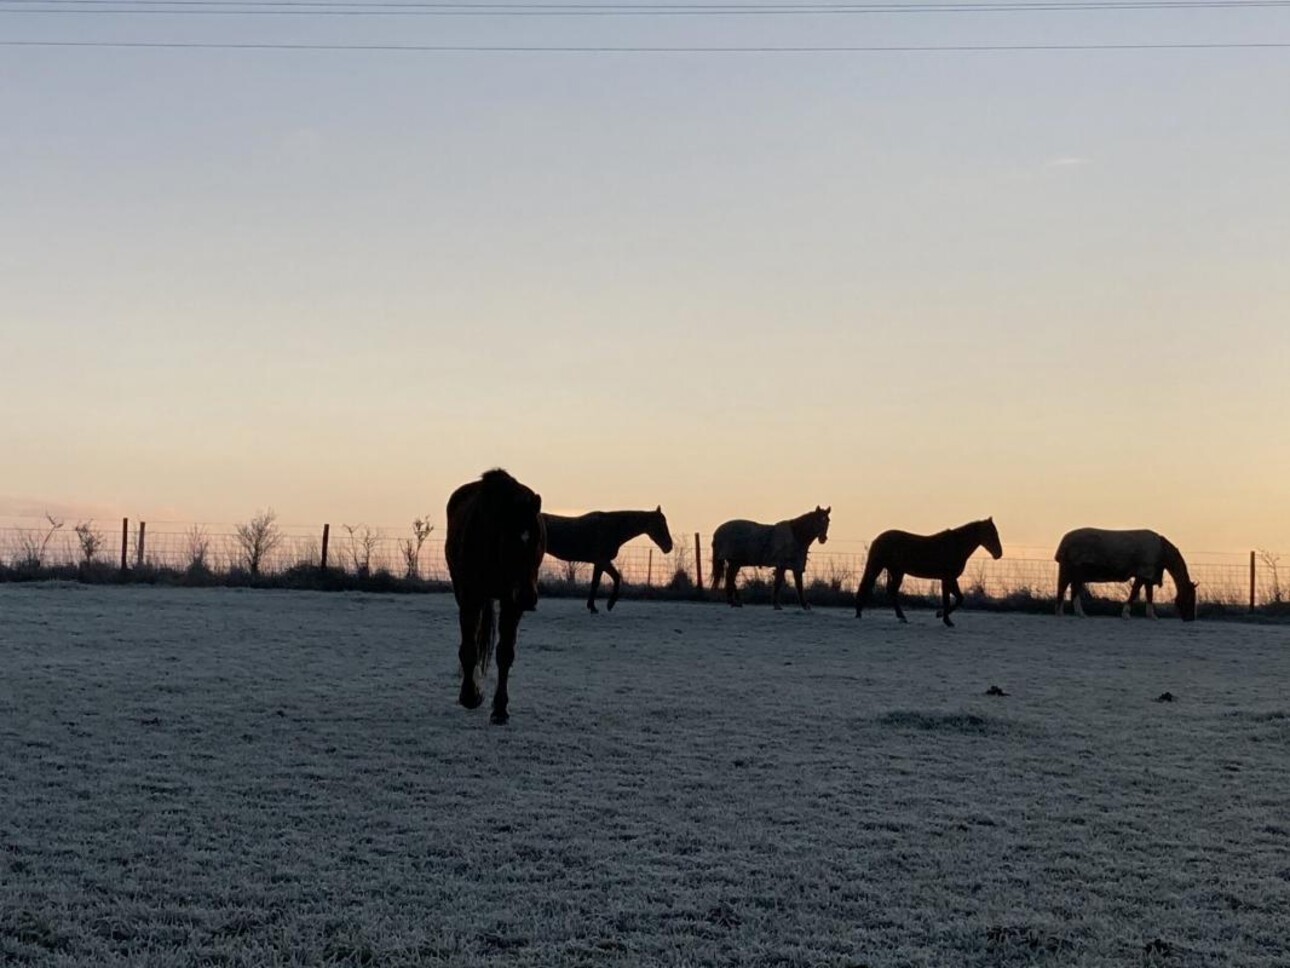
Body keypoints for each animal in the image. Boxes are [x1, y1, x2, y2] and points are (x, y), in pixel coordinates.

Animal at [446, 469, 546, 727]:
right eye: (510, 541)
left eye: (538, 541)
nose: (528, 597)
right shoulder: (470, 597)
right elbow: (469, 649)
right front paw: (470, 696)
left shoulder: (512, 603)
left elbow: (505, 653)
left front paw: (500, 709)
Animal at [541, 508, 675, 614]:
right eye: (661, 524)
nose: (669, 546)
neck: (613, 527)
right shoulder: (602, 561)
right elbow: (605, 581)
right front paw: (606, 605)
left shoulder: (601, 563)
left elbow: (603, 581)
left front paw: (594, 606)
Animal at [861, 518, 1001, 624]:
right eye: (991, 533)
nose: (999, 554)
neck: (956, 546)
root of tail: (878, 539)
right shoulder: (948, 578)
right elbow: (949, 600)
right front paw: (945, 619)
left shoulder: (949, 579)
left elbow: (958, 598)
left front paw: (941, 615)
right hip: (884, 569)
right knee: (872, 587)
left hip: (894, 572)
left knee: (888, 591)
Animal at [1057, 531, 1197, 622]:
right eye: (1190, 597)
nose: (1191, 618)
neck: (1162, 550)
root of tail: (1064, 541)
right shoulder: (1143, 573)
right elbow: (1135, 592)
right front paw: (1126, 614)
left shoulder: (1148, 576)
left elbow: (1149, 594)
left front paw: (1151, 615)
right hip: (1075, 570)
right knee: (1067, 588)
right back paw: (1071, 612)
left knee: (1068, 588)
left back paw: (1070, 612)